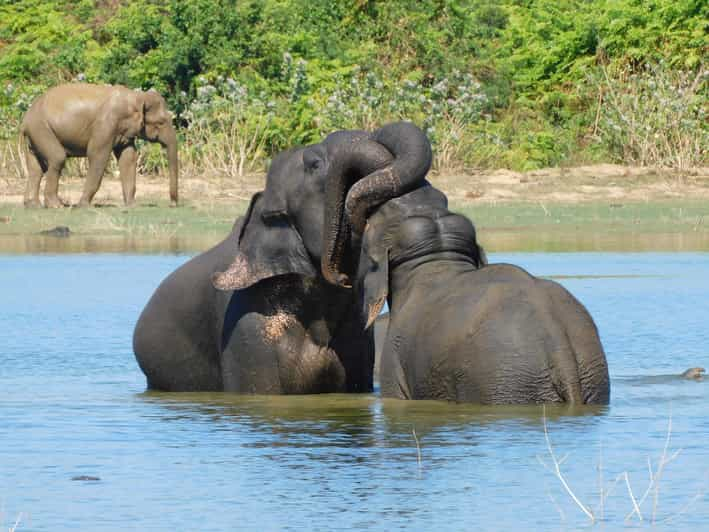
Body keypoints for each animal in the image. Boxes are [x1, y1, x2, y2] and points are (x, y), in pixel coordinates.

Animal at [21, 83, 178, 208]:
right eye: (161, 122)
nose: (172, 204)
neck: (136, 97)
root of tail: (25, 118)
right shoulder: (106, 124)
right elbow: (97, 155)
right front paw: (83, 206)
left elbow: (128, 158)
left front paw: (132, 205)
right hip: (41, 129)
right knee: (57, 158)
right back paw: (56, 206)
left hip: (34, 136)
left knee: (36, 168)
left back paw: (33, 205)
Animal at [320, 122, 608, 404]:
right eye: (440, 196)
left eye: (372, 218)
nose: (341, 279)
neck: (435, 253)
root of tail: (561, 353)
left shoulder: (395, 364)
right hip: (591, 378)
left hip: (503, 381)